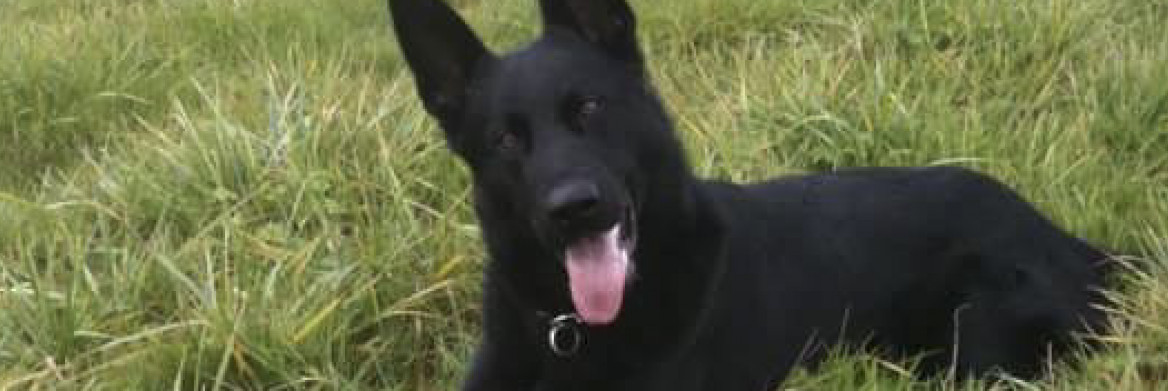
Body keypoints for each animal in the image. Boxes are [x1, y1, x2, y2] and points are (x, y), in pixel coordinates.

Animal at [387, 0, 1107, 387]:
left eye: (587, 107)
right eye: (506, 140)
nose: (573, 209)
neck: (572, 331)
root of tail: (1080, 246)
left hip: (972, 339)